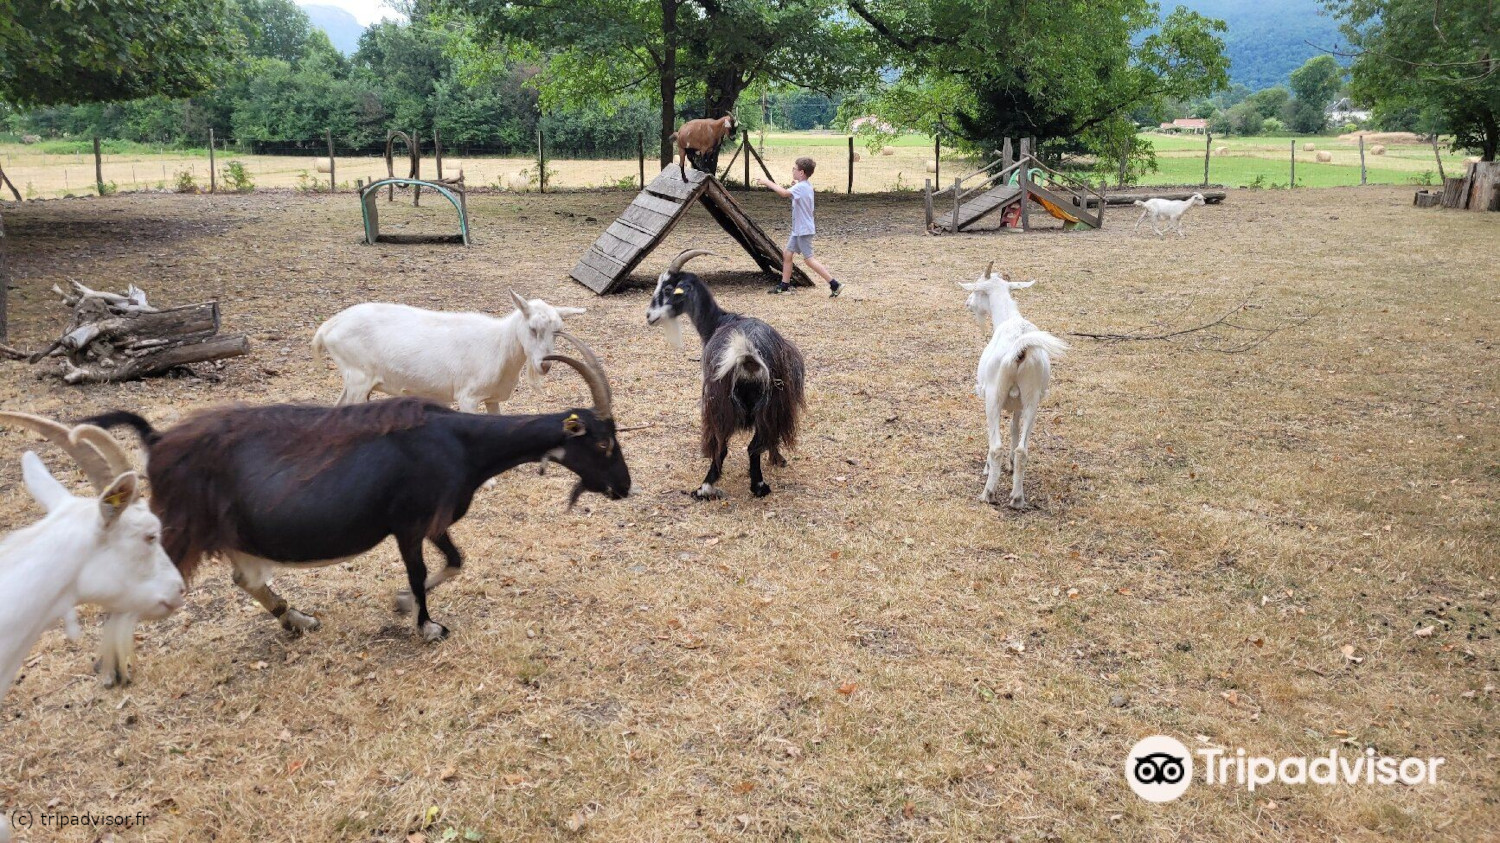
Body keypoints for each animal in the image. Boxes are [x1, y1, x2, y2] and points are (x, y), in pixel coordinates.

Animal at [85, 331, 630, 639]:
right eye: (603, 444)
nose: (625, 488)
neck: (460, 442)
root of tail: (157, 440)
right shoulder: (409, 523)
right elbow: (421, 572)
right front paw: (426, 624)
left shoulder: (434, 522)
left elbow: (456, 561)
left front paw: (402, 604)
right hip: (180, 529)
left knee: (246, 579)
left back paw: (297, 621)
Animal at [315, 291, 585, 411]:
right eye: (532, 328)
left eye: (558, 331)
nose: (545, 364)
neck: (499, 345)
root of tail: (328, 327)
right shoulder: (468, 397)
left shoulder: (492, 398)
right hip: (358, 377)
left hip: (353, 380)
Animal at [648, 249, 810, 498]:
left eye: (667, 289)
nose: (649, 316)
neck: (719, 321)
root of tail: (748, 357)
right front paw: (778, 459)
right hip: (769, 403)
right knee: (754, 444)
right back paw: (757, 485)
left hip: (719, 401)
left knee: (724, 445)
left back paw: (708, 487)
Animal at [960, 262, 1068, 510]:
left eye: (978, 289)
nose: (967, 303)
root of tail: (1020, 349)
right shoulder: (1018, 404)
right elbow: (1014, 429)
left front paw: (988, 469)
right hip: (1032, 399)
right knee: (1022, 450)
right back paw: (1017, 498)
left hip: (994, 396)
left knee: (995, 447)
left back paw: (988, 493)